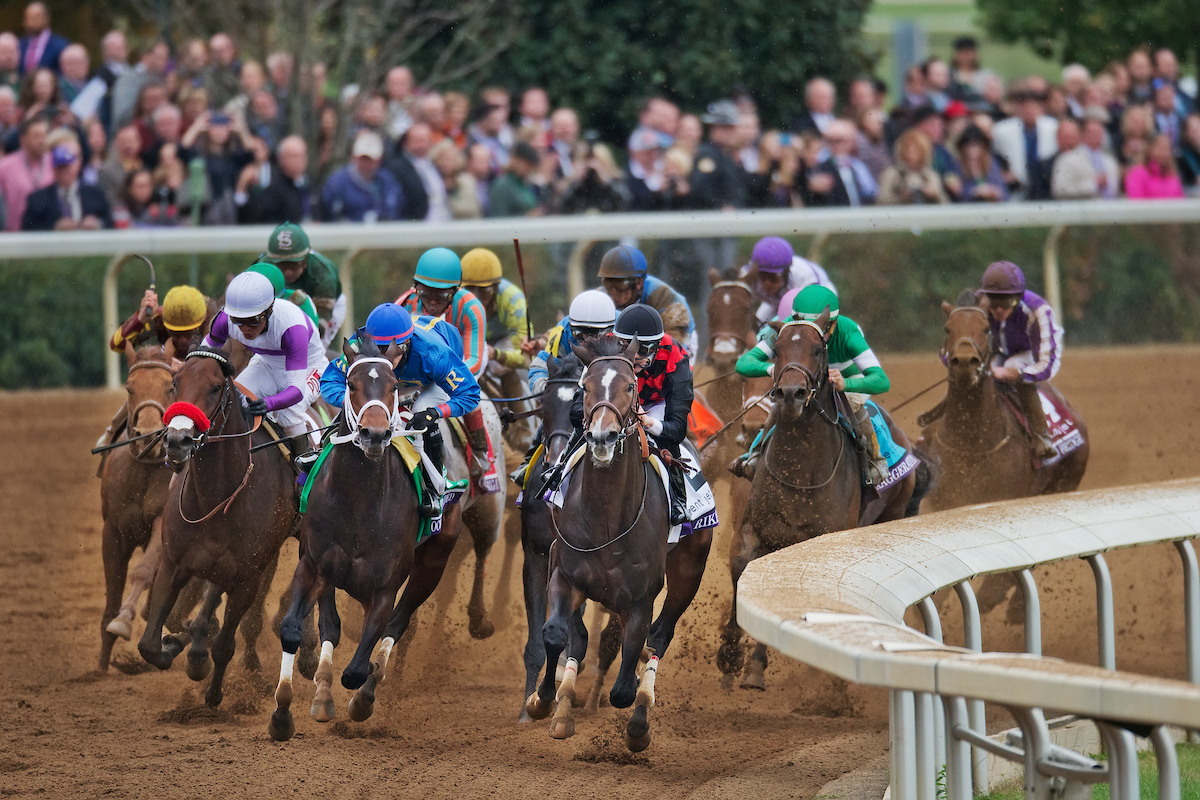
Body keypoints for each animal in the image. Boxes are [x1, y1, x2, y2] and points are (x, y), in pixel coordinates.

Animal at [139, 345, 298, 705]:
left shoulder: (247, 579)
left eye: (215, 387)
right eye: (175, 383)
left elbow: (225, 645)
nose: (178, 441)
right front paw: (173, 646)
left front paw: (212, 693)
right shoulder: (174, 562)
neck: (216, 496)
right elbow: (149, 645)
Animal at [270, 340, 460, 743]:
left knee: (395, 627)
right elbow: (294, 629)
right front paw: (282, 713)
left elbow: (358, 667)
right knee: (331, 624)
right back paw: (323, 695)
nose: (374, 435)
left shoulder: (385, 587)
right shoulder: (312, 563)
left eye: (393, 386)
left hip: (432, 564)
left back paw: (364, 696)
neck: (358, 501)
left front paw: (360, 694)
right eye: (351, 384)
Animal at [525, 335, 710, 753]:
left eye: (629, 387)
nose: (602, 436)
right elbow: (559, 633)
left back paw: (640, 719)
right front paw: (543, 702)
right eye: (586, 387)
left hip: (688, 571)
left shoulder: (641, 596)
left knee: (659, 638)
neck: (606, 520)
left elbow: (624, 685)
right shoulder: (562, 572)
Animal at [715, 316, 931, 690]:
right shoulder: (751, 530)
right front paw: (732, 656)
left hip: (891, 512)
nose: (791, 394)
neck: (801, 475)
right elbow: (744, 572)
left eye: (818, 350)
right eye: (776, 350)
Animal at [916, 296, 1089, 513]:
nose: (964, 363)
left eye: (986, 329)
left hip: (1066, 482)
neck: (971, 445)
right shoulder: (939, 501)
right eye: (947, 328)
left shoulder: (1006, 496)